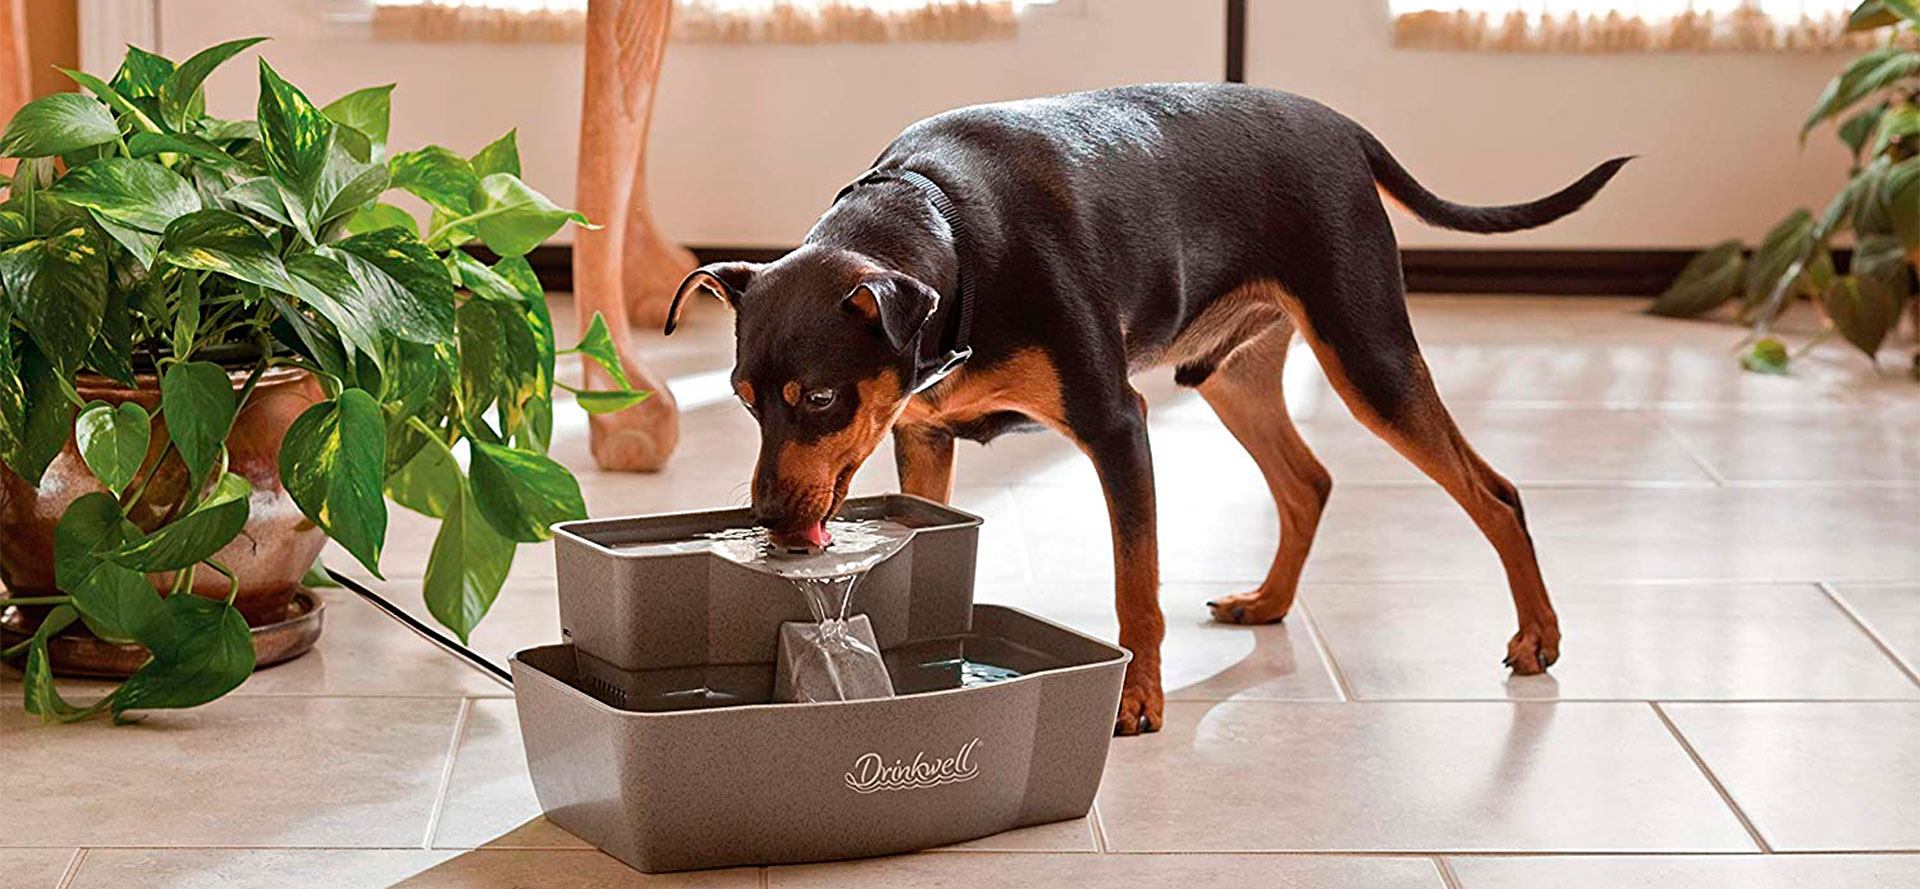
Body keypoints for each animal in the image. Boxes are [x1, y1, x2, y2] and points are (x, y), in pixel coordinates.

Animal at [668, 85, 1628, 737]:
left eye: (819, 397)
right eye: (744, 402)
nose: (765, 516)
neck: (946, 224)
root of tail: (1343, 129)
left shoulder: (1116, 424)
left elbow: (1137, 584)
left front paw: (1136, 699)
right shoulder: (925, 431)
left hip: (1368, 354)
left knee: (1495, 492)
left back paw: (1538, 637)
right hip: (1231, 373)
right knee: (1308, 481)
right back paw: (1268, 601)